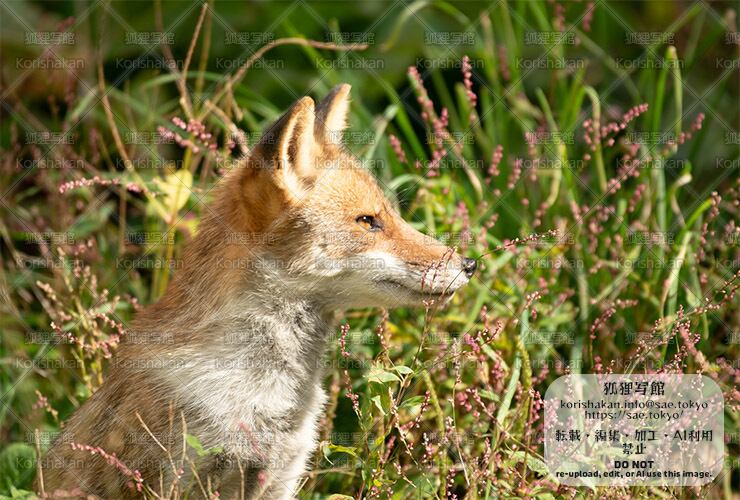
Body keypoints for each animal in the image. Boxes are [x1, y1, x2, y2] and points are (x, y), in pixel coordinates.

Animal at [39, 84, 477, 499]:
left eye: (392, 216)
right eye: (368, 221)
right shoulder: (178, 477)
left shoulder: (280, 474)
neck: (264, 395)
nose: (470, 265)